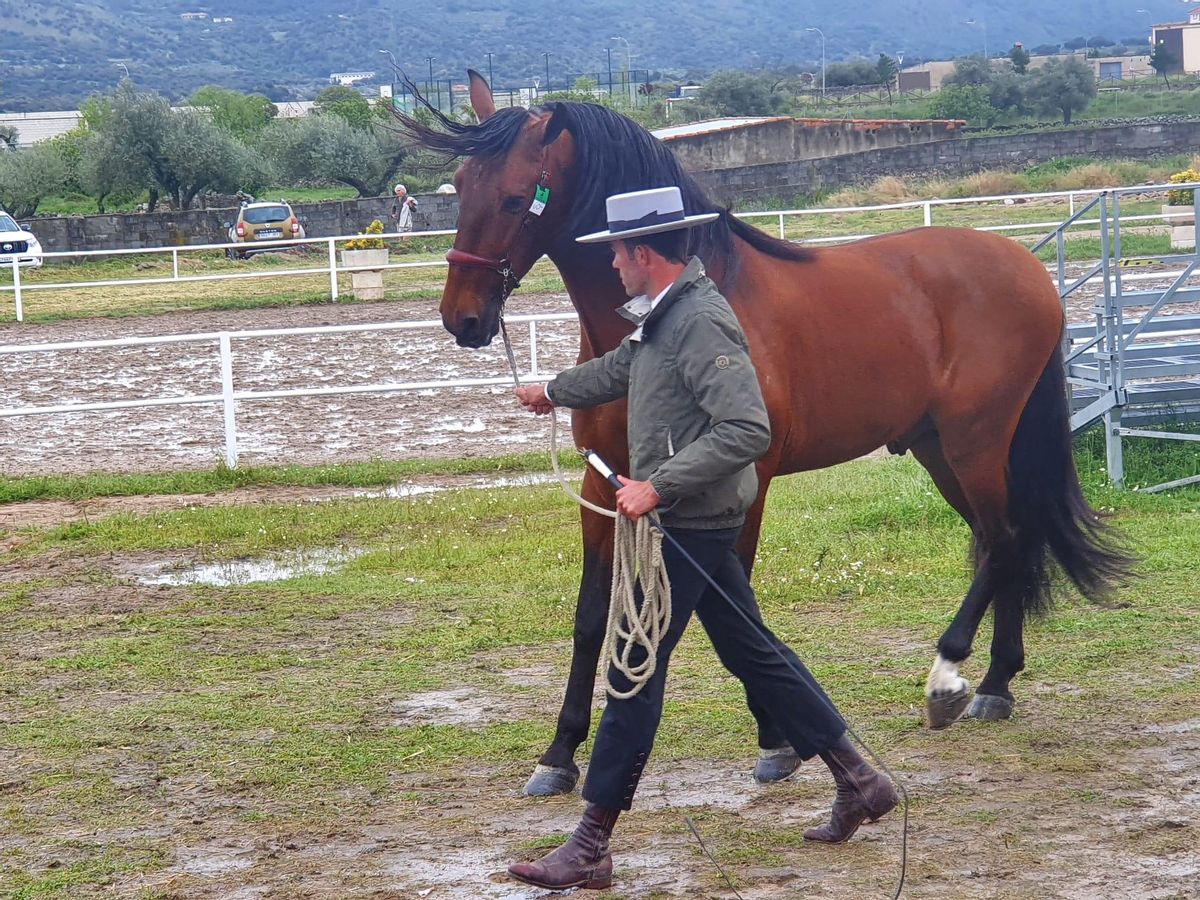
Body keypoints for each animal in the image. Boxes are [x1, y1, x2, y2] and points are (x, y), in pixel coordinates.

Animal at [398, 74, 1128, 801]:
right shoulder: (605, 485)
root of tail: (1025, 266)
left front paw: (776, 740)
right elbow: (591, 618)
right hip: (937, 448)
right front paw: (559, 753)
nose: (462, 317)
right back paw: (997, 681)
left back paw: (950, 678)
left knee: (1003, 538)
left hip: (974, 440)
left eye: (516, 196)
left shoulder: (741, 482)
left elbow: (734, 612)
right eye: (460, 186)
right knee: (1003, 540)